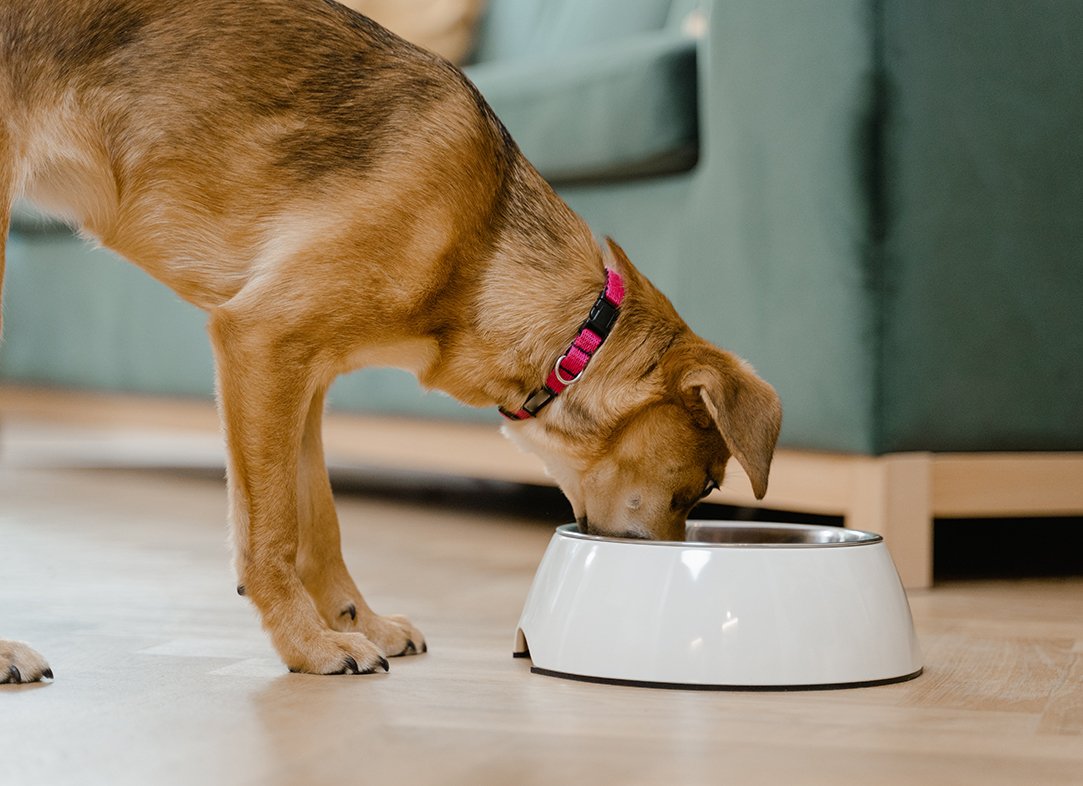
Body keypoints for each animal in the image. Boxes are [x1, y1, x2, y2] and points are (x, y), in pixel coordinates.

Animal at [0, 0, 779, 684]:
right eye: (706, 486)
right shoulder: (260, 341)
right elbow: (272, 532)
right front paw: (309, 646)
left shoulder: (300, 378)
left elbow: (319, 521)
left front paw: (356, 622)